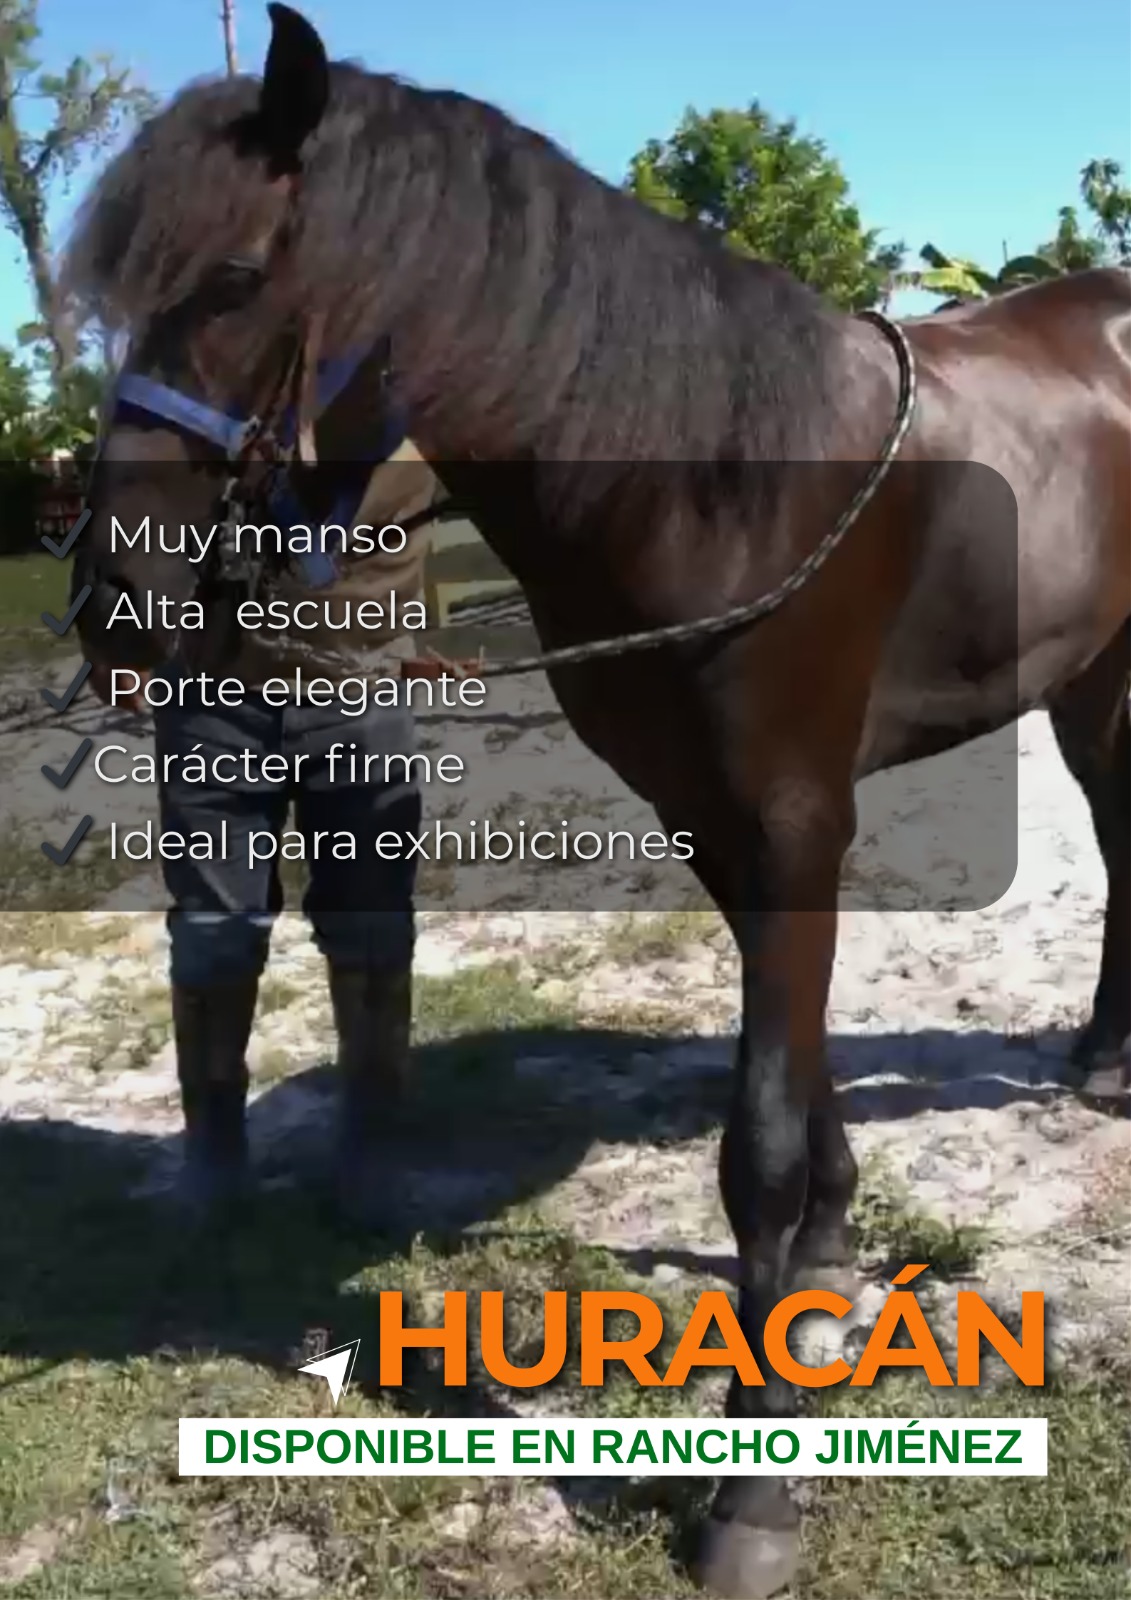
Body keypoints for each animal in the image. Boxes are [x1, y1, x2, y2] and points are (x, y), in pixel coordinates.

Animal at [57, 6, 1130, 1595]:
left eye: (237, 278)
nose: (113, 601)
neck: (713, 478)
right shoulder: (719, 822)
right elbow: (792, 1076)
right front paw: (826, 1254)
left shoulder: (793, 819)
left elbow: (753, 1141)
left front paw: (754, 1488)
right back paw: (1105, 1055)